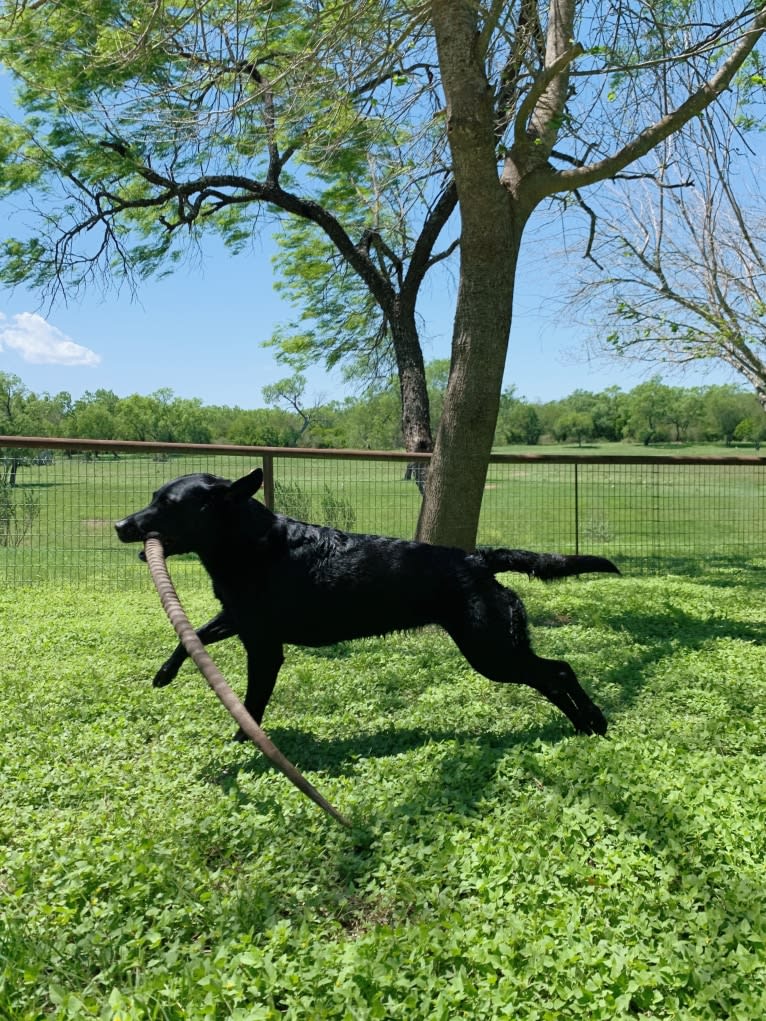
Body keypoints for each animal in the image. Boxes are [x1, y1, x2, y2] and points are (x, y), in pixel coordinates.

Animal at [113, 467, 620, 739]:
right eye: (152, 496)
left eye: (170, 504)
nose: (120, 524)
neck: (252, 543)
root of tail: (478, 558)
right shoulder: (238, 618)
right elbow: (193, 637)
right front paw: (164, 674)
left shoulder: (264, 648)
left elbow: (252, 703)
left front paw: (244, 742)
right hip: (501, 648)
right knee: (553, 675)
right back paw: (584, 724)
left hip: (491, 651)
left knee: (558, 671)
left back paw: (592, 721)